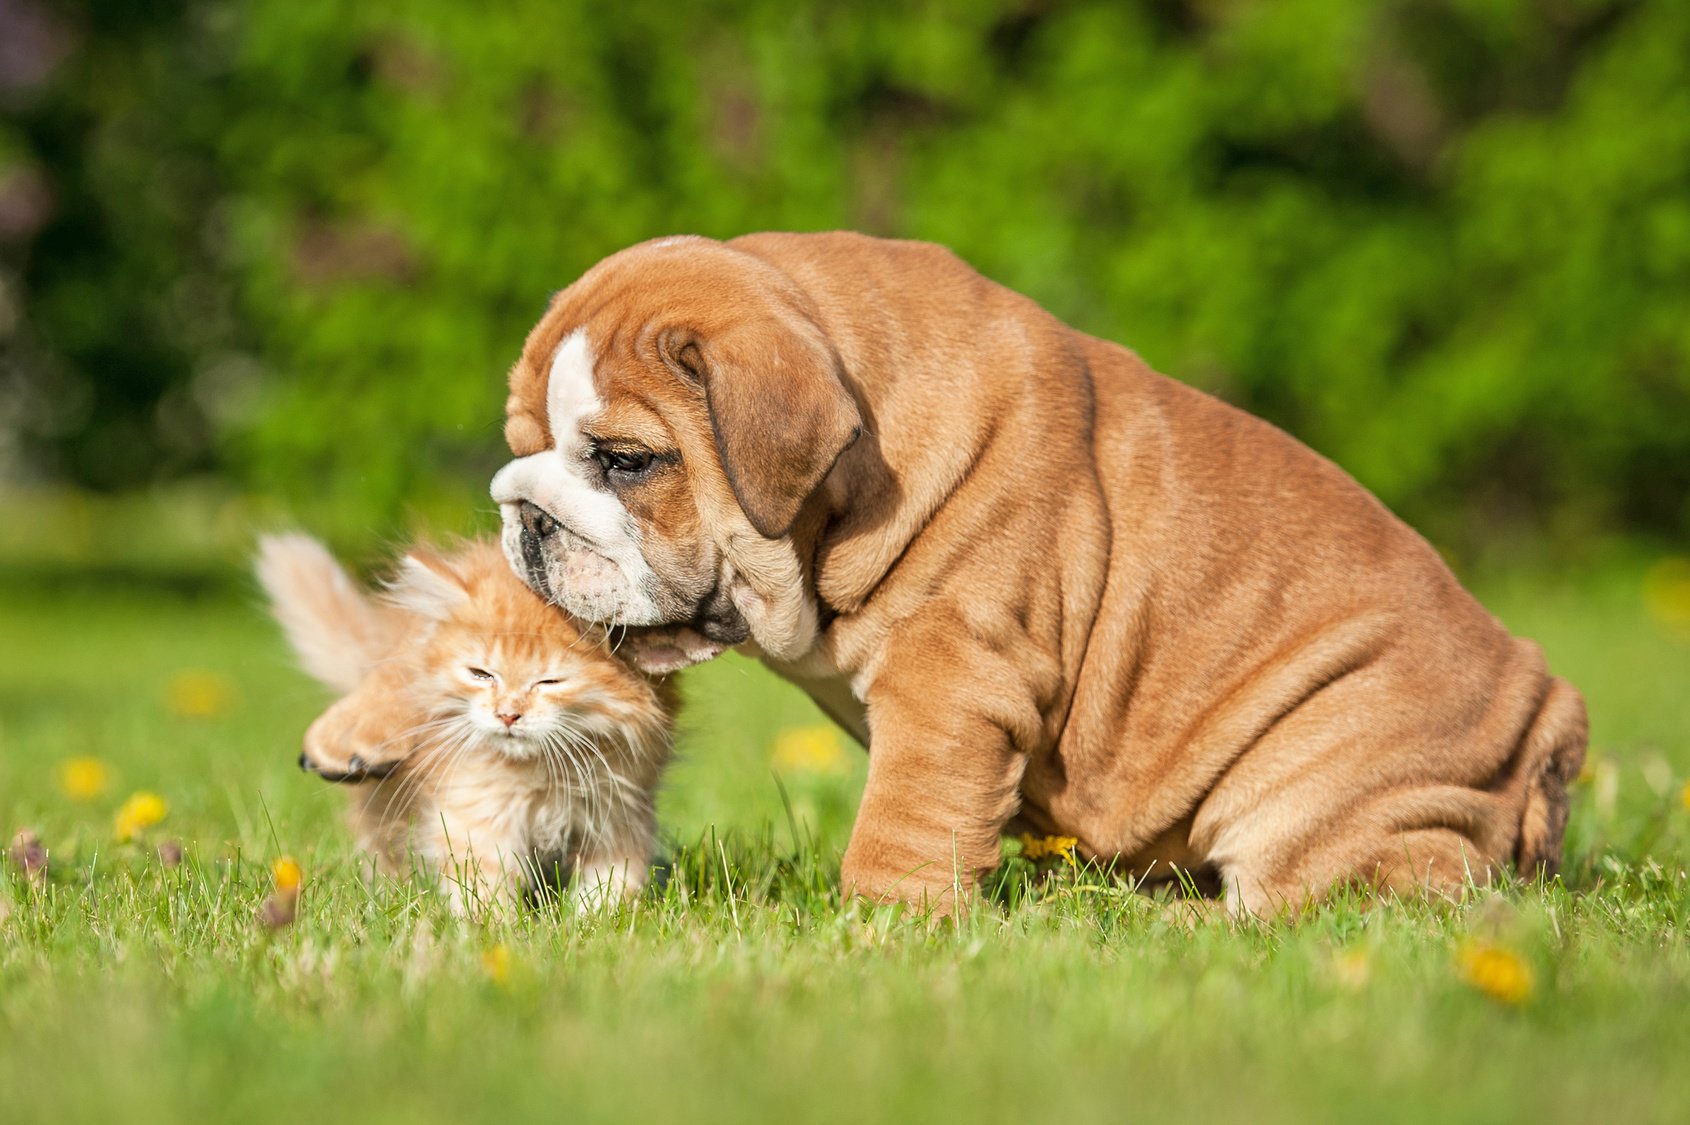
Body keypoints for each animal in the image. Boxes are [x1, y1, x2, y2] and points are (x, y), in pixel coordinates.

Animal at [255, 533, 672, 912]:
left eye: (549, 682)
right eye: (481, 675)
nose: (508, 714)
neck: (545, 771)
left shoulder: (620, 812)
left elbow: (613, 883)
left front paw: (592, 924)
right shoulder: (475, 808)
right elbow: (484, 883)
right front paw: (493, 930)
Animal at [486, 231, 1581, 918]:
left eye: (627, 461)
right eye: (522, 446)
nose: (522, 511)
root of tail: (1545, 714)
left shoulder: (953, 679)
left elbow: (909, 817)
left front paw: (883, 925)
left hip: (1321, 781)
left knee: (1345, 898)